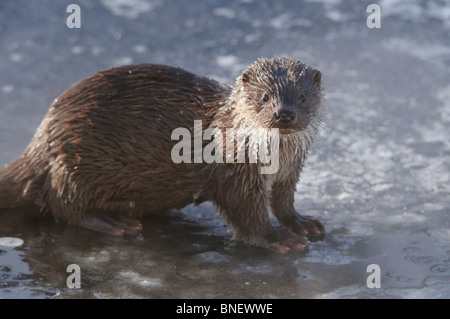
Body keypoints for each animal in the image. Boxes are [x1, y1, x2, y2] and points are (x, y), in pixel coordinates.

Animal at [0, 57, 324, 252]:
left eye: (302, 97)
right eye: (264, 97)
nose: (284, 113)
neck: (275, 160)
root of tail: (42, 134)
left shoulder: (291, 170)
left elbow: (283, 200)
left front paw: (301, 223)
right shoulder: (235, 171)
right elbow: (248, 214)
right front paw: (278, 239)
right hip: (70, 160)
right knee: (63, 203)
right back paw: (114, 223)